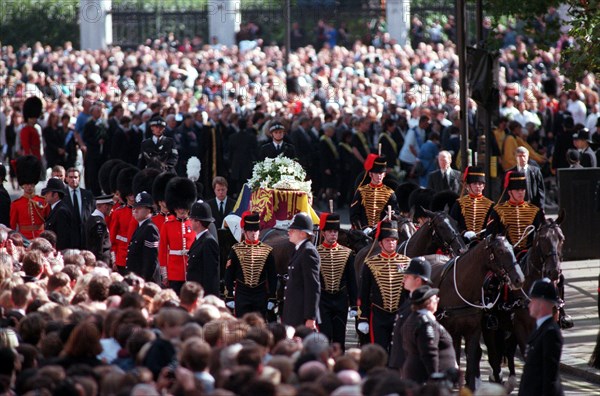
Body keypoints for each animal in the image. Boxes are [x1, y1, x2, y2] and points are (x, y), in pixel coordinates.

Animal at [432, 235, 524, 390]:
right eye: (500, 251)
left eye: (512, 248)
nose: (519, 279)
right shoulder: (451, 329)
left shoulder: (474, 330)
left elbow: (472, 357)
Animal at [480, 213, 564, 386]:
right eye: (543, 238)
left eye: (562, 238)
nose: (554, 271)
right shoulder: (520, 326)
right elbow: (527, 355)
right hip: (490, 325)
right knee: (494, 352)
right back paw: (497, 377)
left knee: (508, 350)